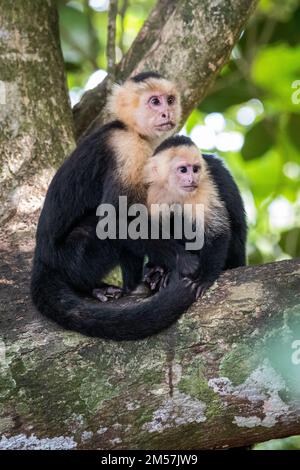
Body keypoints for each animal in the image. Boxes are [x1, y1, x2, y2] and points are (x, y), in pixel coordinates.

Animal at [31, 70, 197, 342]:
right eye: (155, 102)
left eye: (170, 100)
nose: (166, 113)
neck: (132, 130)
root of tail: (41, 259)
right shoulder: (126, 148)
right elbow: (119, 218)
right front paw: (181, 260)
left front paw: (159, 269)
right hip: (72, 259)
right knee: (100, 226)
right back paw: (109, 288)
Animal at [143, 134, 246, 300]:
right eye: (183, 170)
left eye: (196, 169)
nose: (192, 179)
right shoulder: (153, 191)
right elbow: (152, 231)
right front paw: (158, 267)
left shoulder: (204, 185)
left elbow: (216, 230)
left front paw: (205, 277)